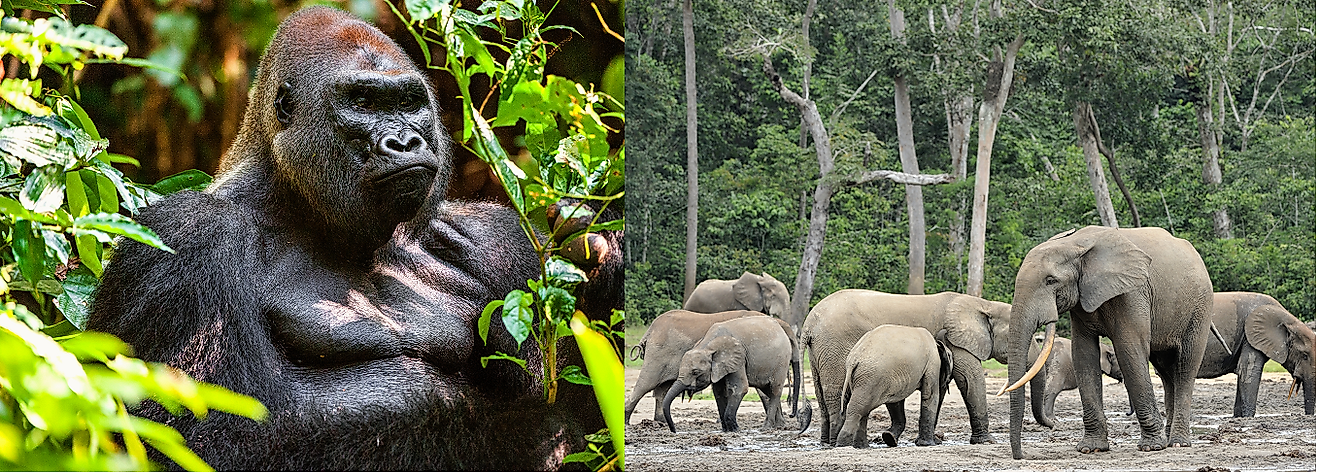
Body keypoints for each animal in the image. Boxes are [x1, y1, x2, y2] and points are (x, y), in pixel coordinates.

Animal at [85, 7, 620, 472]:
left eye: (407, 103)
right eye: (362, 103)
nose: (405, 142)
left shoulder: (503, 242)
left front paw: (601, 265)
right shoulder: (184, 239)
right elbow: (200, 440)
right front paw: (518, 435)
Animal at [623, 307, 770, 421]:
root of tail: (649, 331)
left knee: (662, 388)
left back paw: (661, 421)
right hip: (657, 355)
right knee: (645, 384)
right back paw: (626, 421)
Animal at [792, 288, 1008, 445]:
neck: (984, 305)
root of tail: (809, 323)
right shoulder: (958, 342)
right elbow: (970, 380)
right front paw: (987, 442)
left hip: (819, 352)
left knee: (822, 395)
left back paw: (826, 443)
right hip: (835, 347)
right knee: (837, 394)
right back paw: (837, 441)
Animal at [1003, 226, 1209, 458]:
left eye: (1050, 281)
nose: (1021, 456)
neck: (1075, 243)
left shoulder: (1132, 293)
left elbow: (1130, 350)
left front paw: (1151, 447)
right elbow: (1083, 354)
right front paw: (1090, 448)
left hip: (1199, 307)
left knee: (1185, 368)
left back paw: (1178, 443)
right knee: (1166, 372)